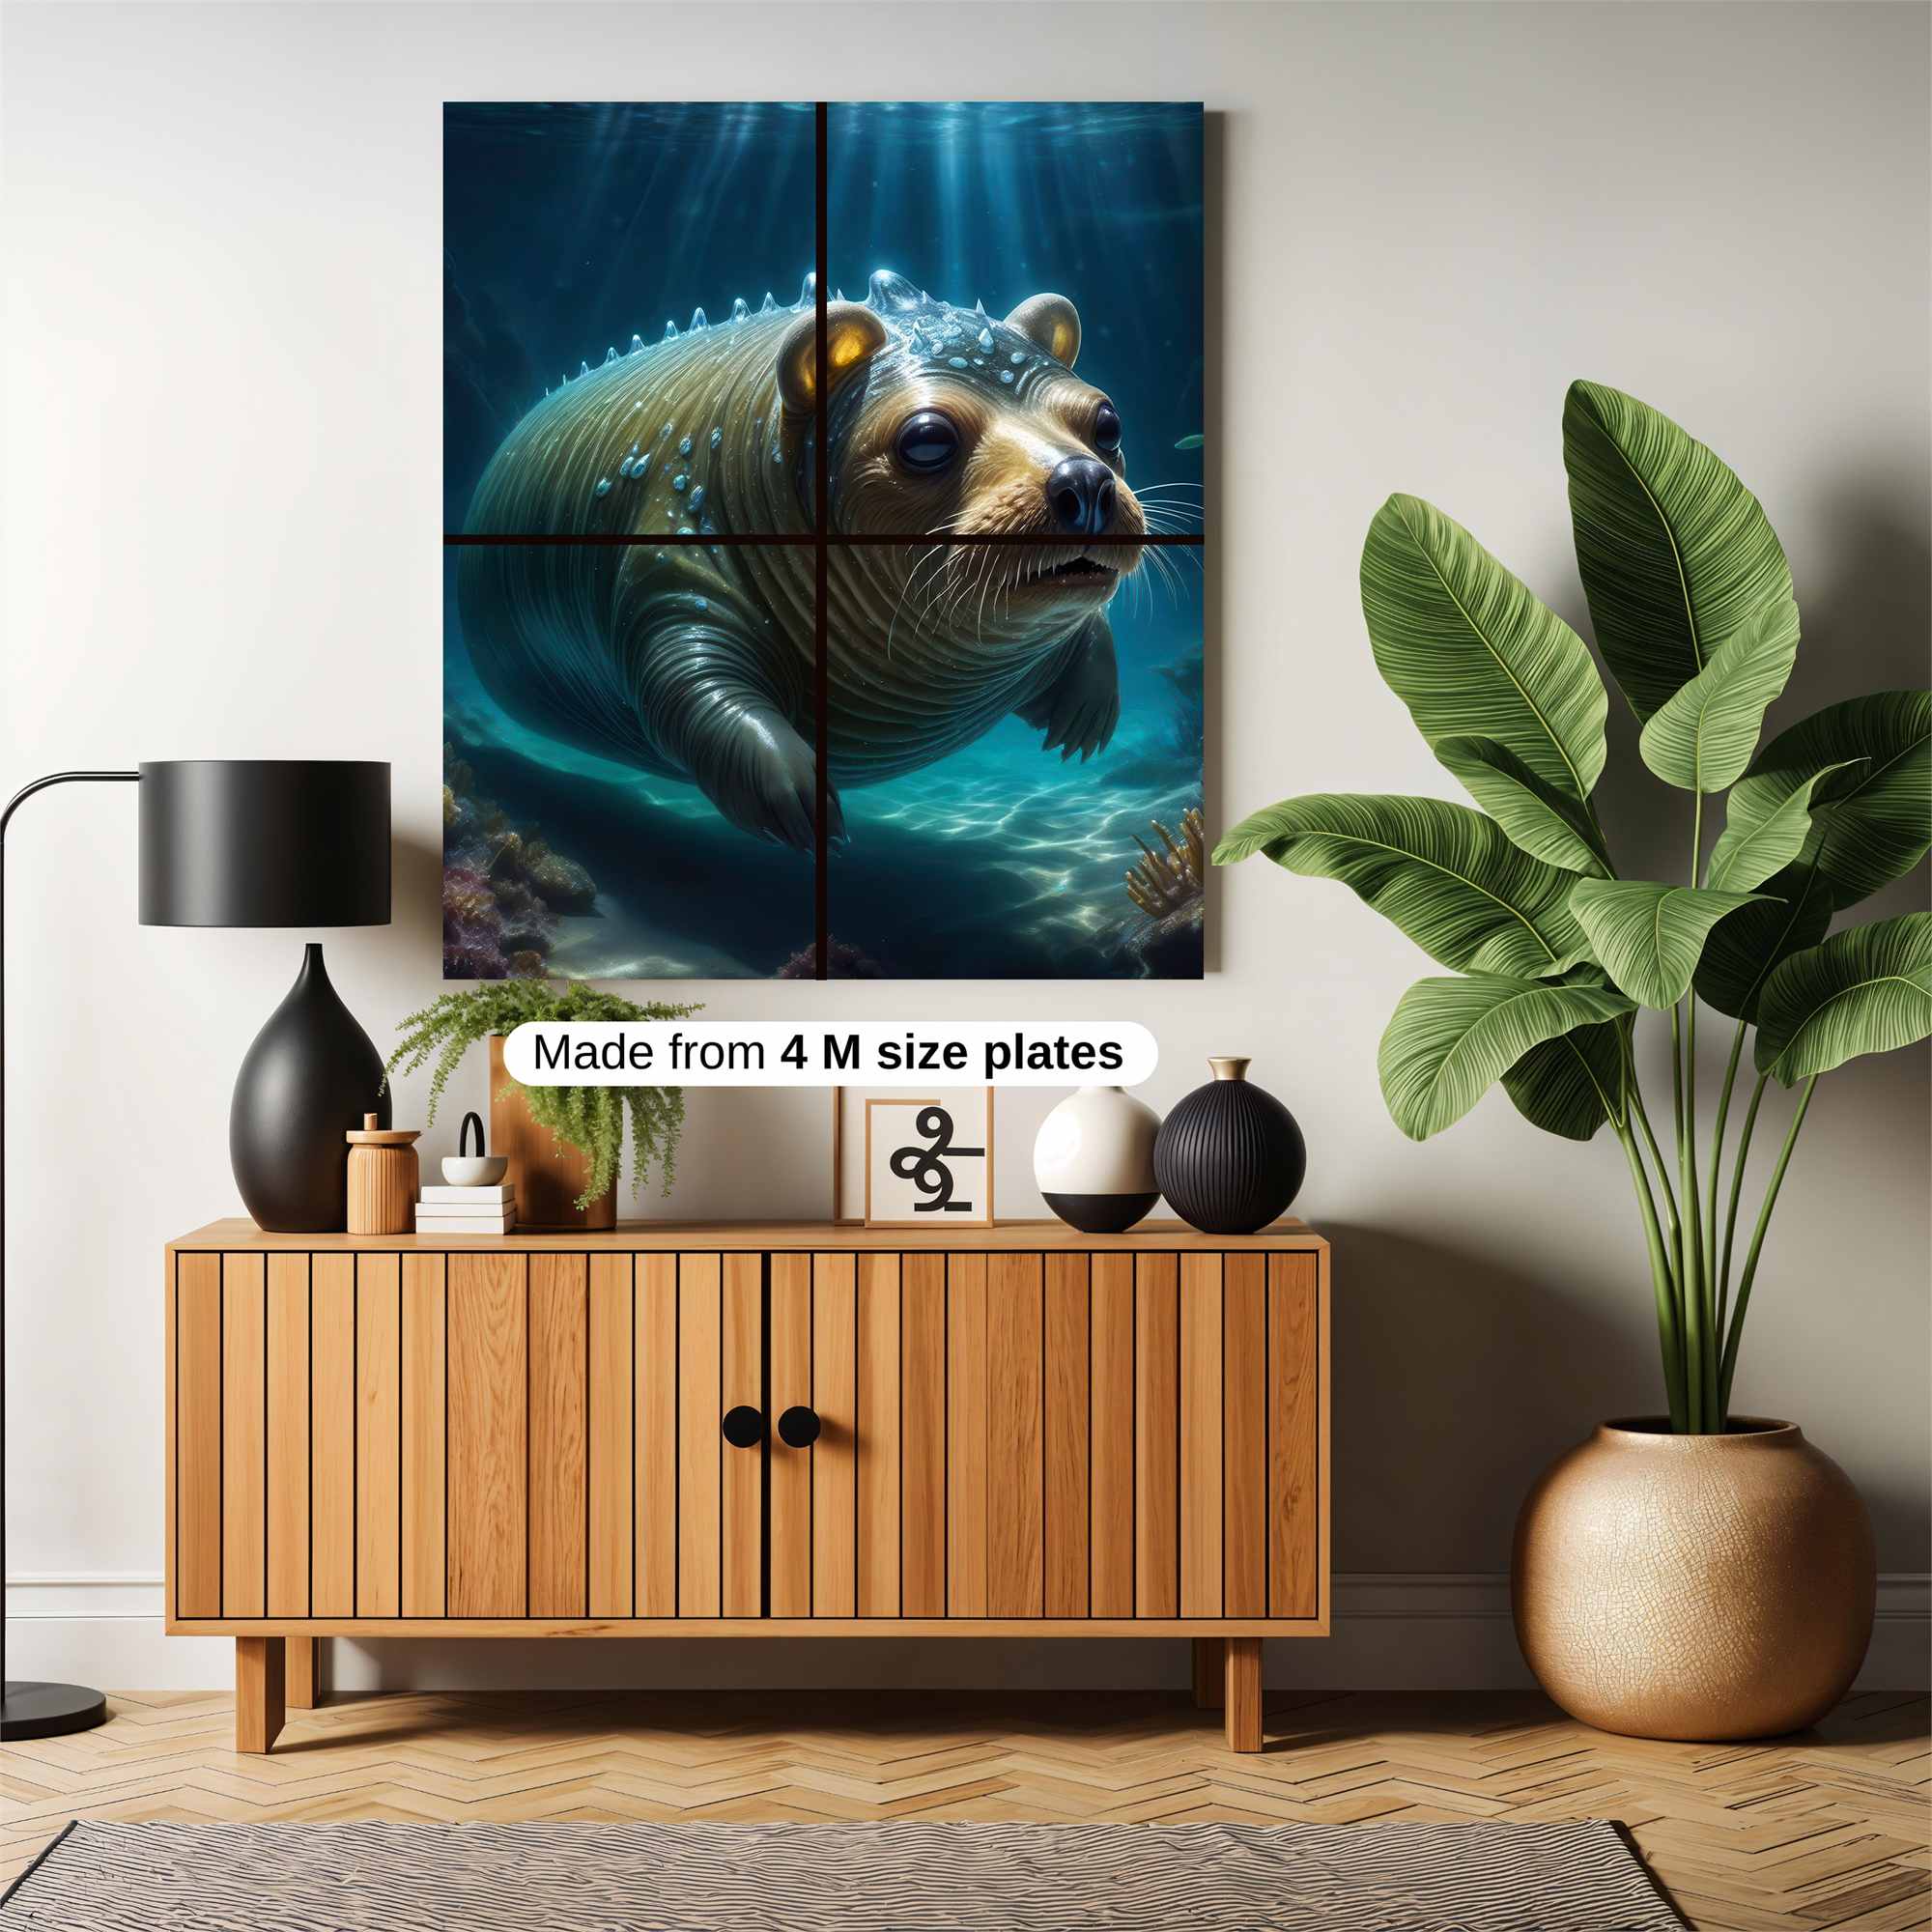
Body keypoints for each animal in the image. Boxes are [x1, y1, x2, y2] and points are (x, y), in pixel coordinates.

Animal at [456, 268, 1146, 848]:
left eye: (1108, 422)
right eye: (925, 440)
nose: (1085, 480)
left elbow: (1091, 625)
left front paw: (1082, 725)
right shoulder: (670, 571)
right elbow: (695, 692)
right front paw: (802, 801)